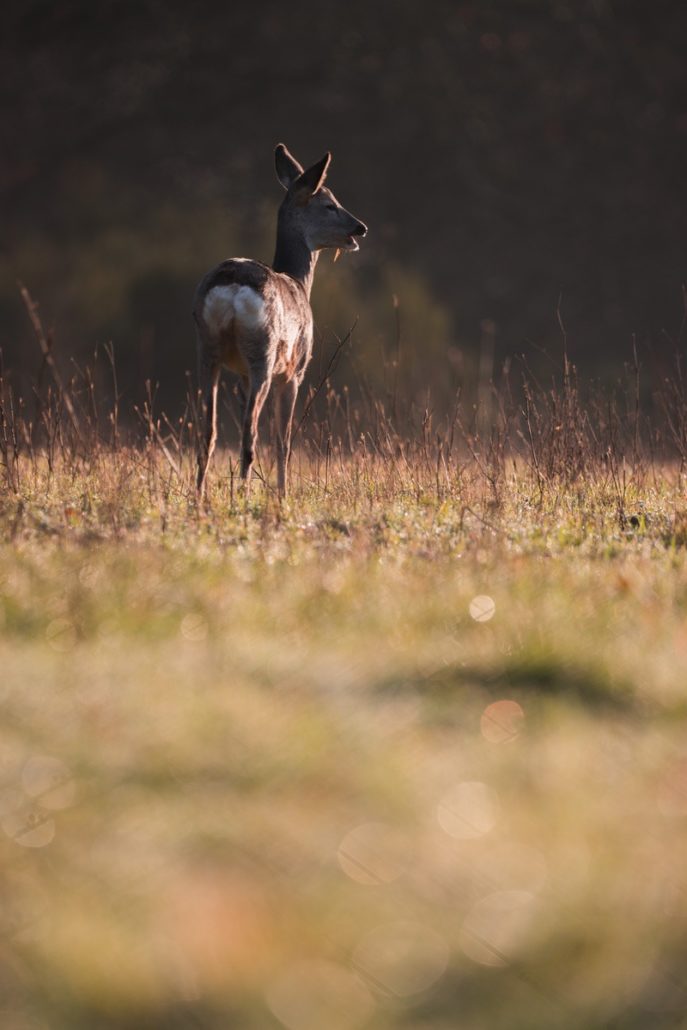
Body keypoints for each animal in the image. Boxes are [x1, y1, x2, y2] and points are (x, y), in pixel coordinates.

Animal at [190, 144, 368, 498]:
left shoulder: (241, 374)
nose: (360, 228)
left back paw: (200, 497)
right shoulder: (294, 371)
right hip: (264, 351)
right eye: (330, 204)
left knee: (209, 432)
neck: (299, 281)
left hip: (208, 347)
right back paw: (241, 497)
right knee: (250, 435)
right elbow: (284, 441)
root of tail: (231, 285)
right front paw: (283, 496)